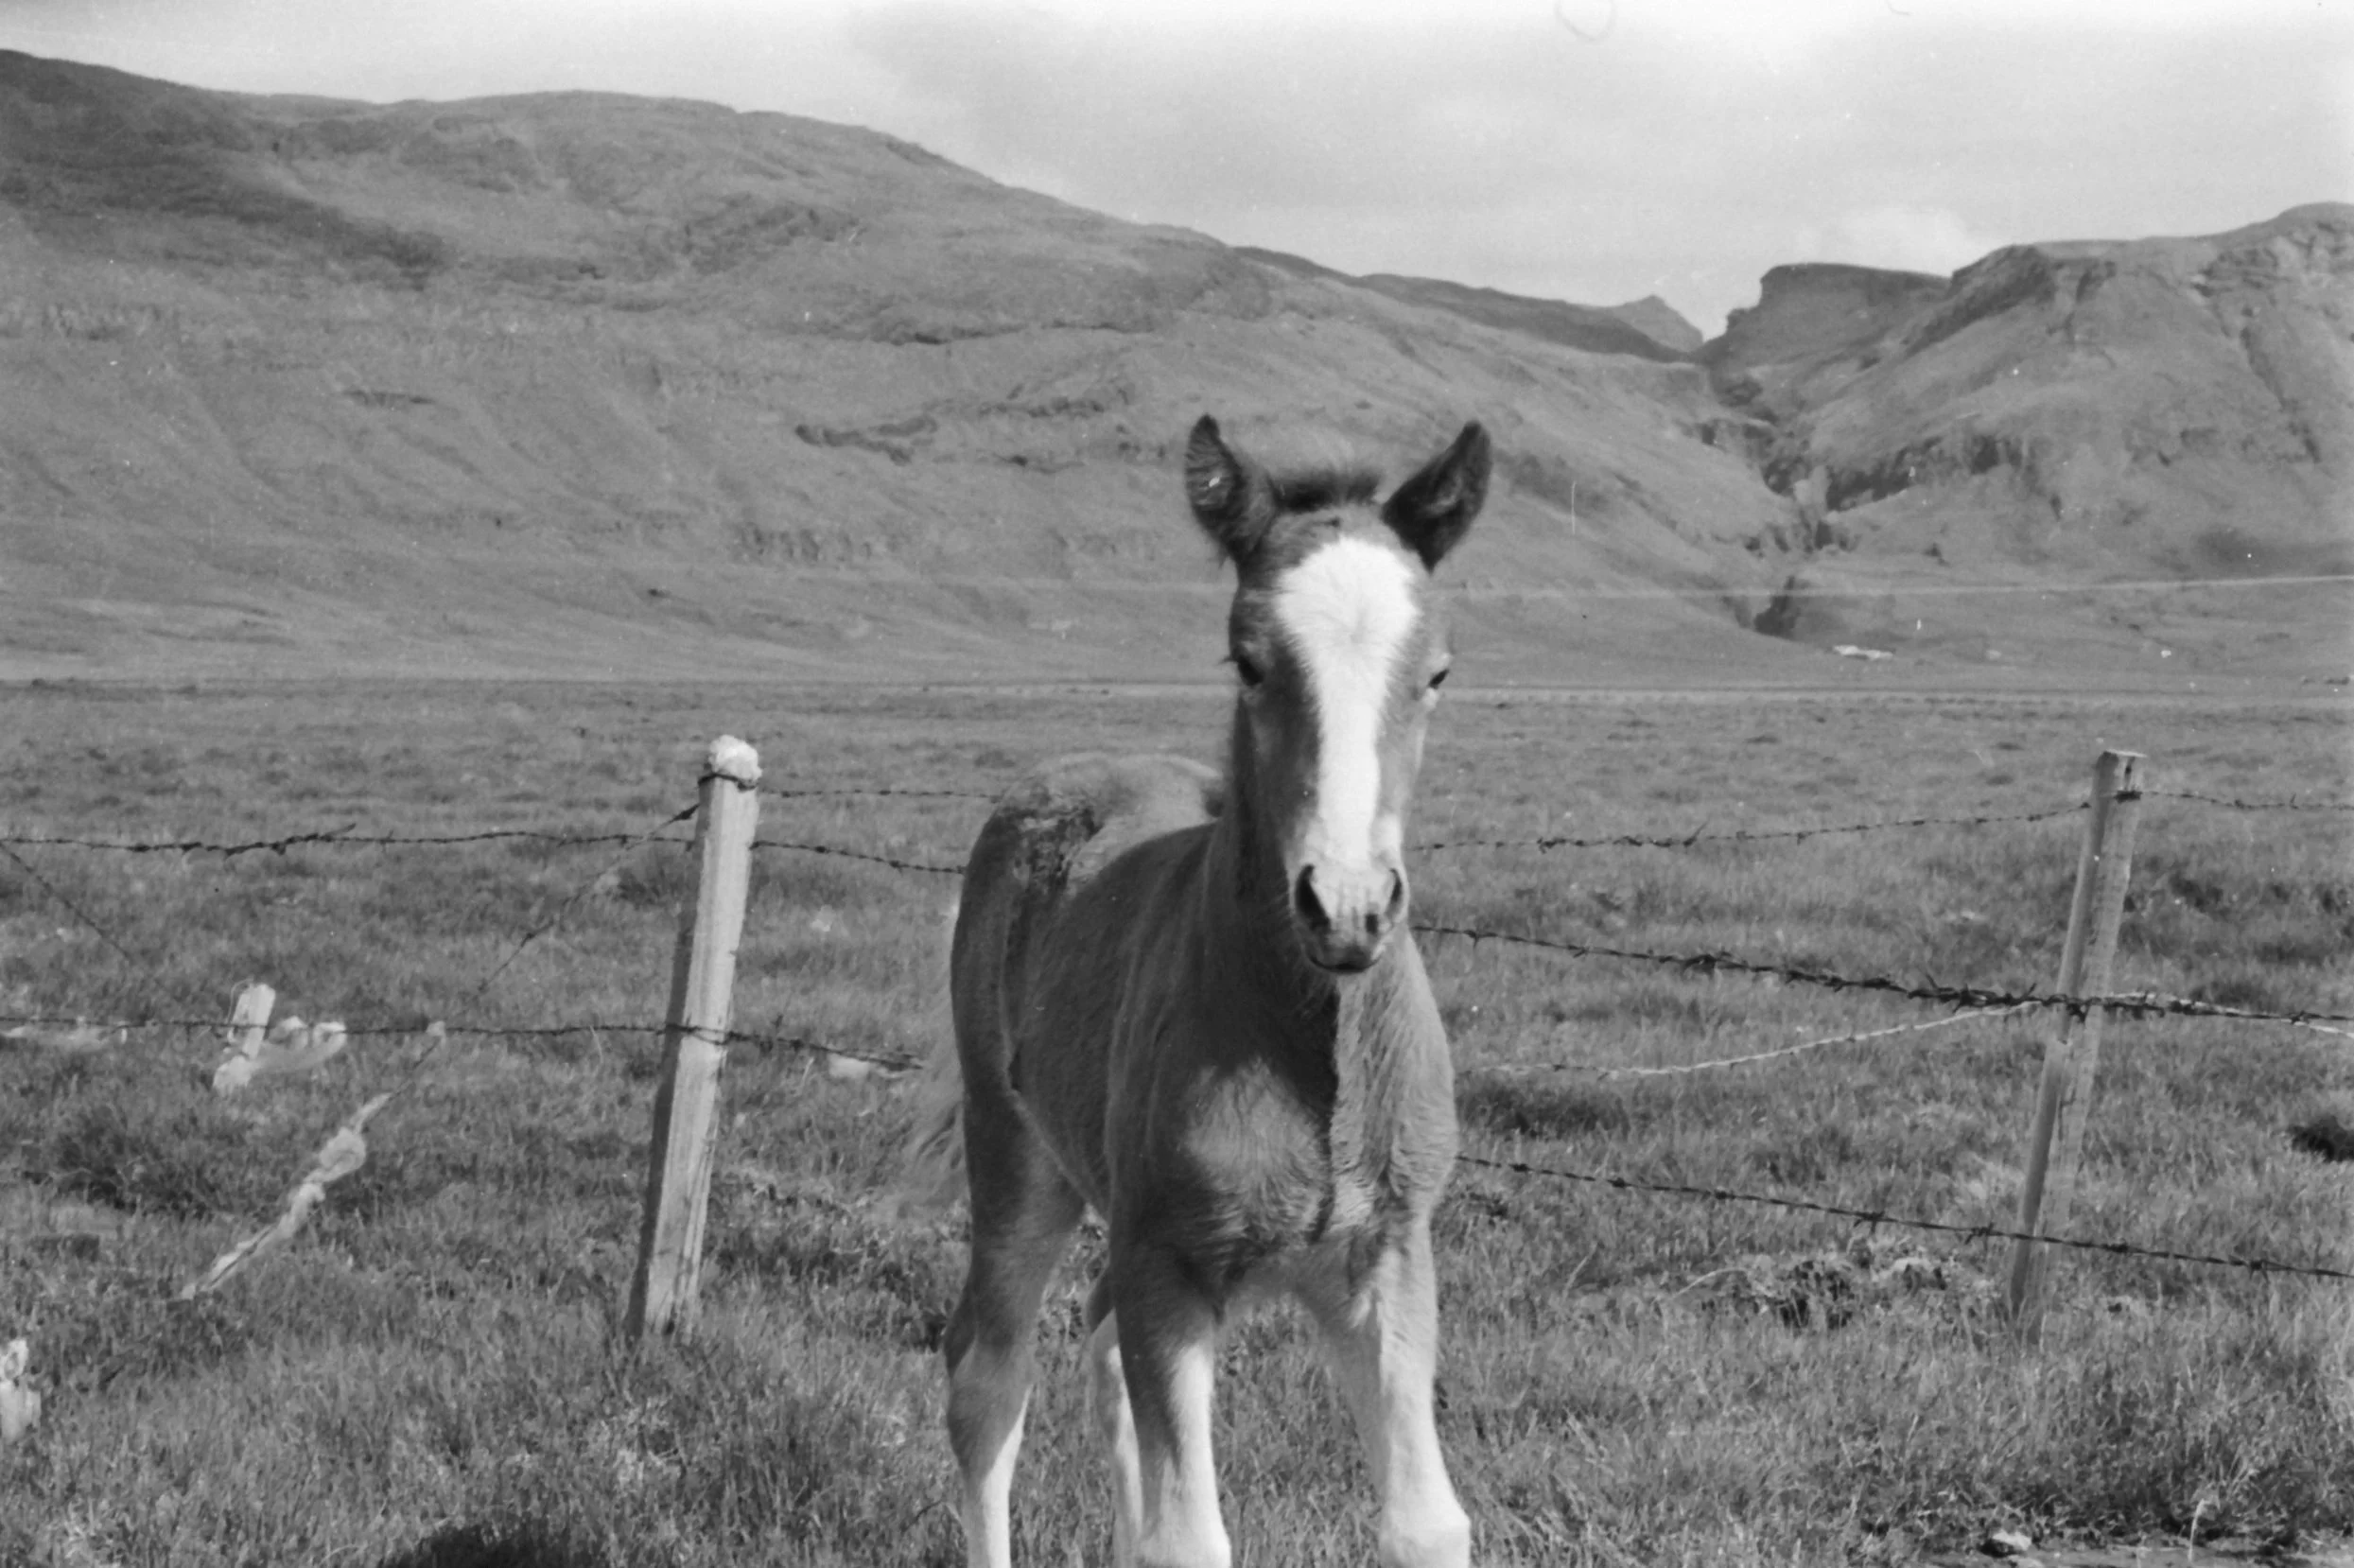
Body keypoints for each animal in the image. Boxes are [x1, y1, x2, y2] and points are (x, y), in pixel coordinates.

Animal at [904, 413, 1491, 1568]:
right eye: (1248, 661)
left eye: (1437, 671)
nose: (1346, 908)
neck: (1312, 1049)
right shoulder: (1169, 1266)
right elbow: (1189, 1535)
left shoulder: (1387, 1254)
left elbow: (1422, 1520)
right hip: (1019, 1162)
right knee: (986, 1378)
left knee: (1093, 1361)